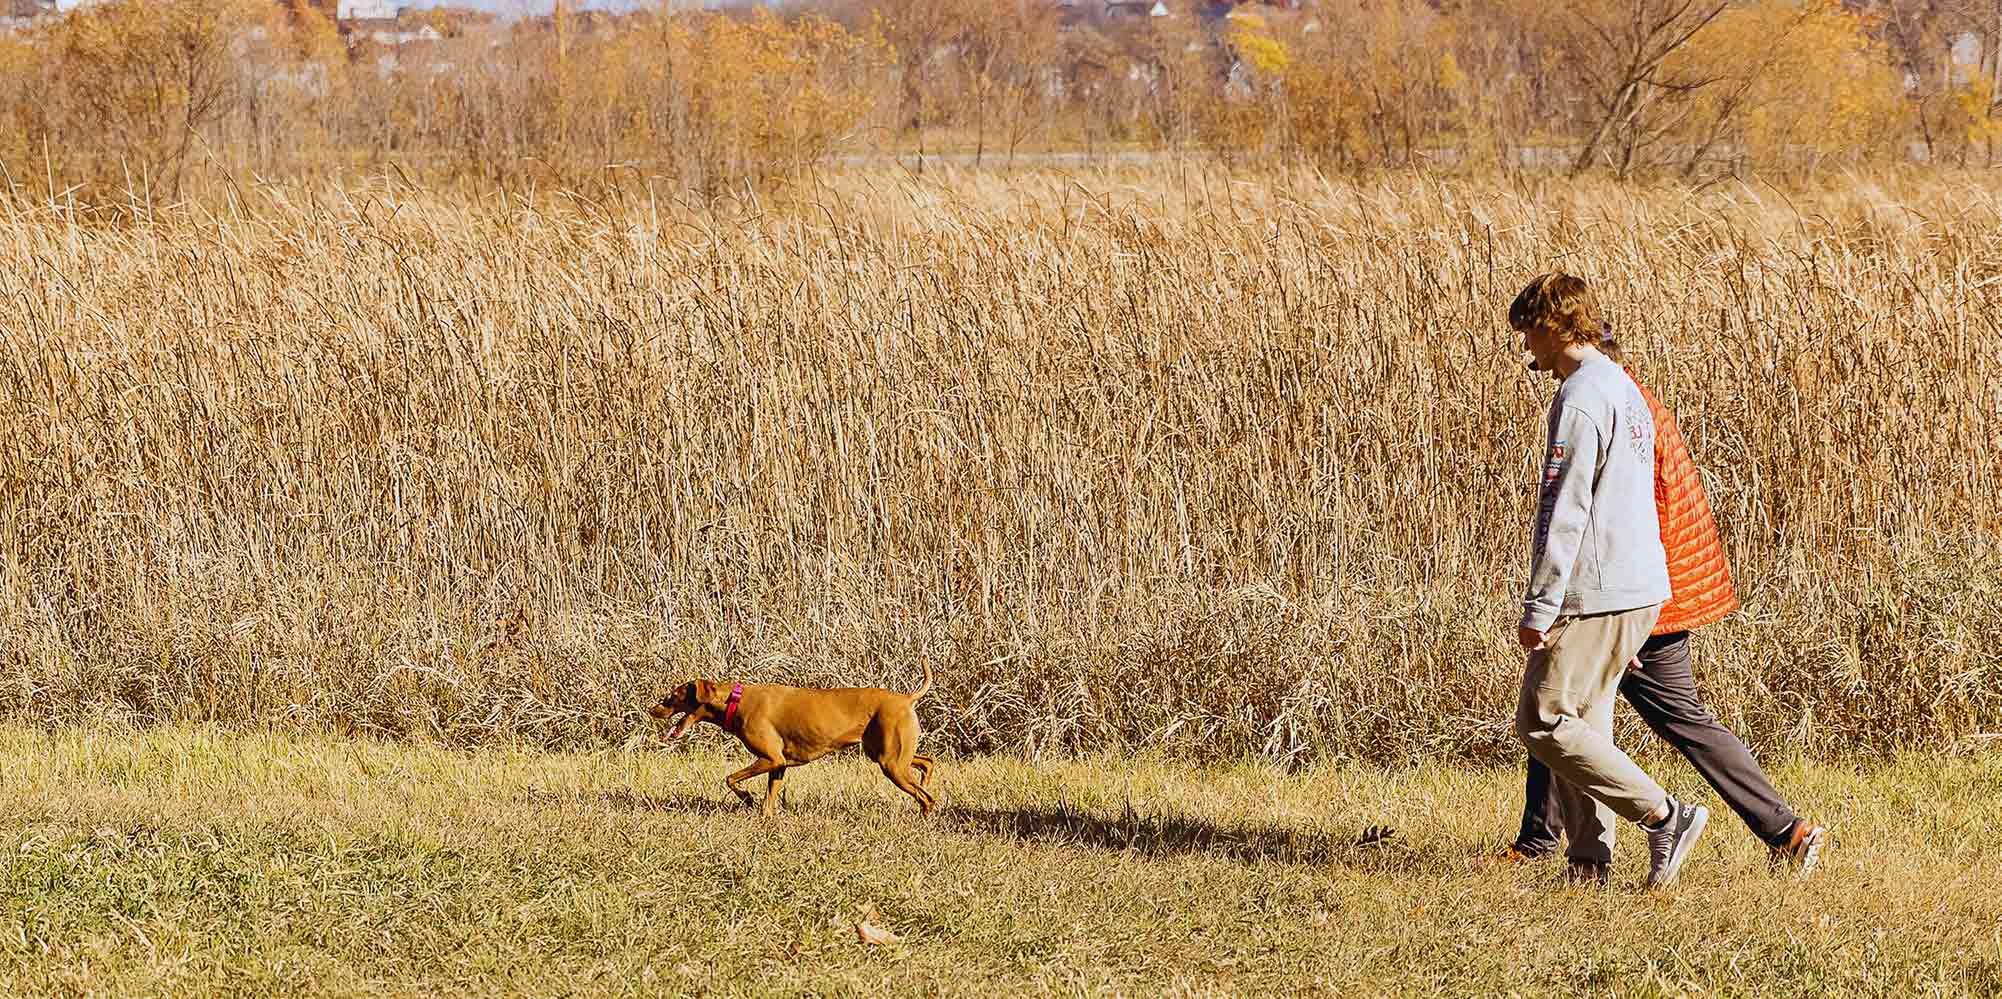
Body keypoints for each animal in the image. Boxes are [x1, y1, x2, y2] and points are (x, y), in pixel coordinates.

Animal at [652, 664, 940, 812]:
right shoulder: (778, 765)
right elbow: (768, 801)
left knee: (926, 797)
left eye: (673, 696)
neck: (735, 701)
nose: (651, 709)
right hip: (889, 756)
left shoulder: (770, 758)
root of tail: (906, 698)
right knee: (927, 763)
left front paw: (747, 798)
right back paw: (926, 782)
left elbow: (731, 778)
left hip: (891, 764)